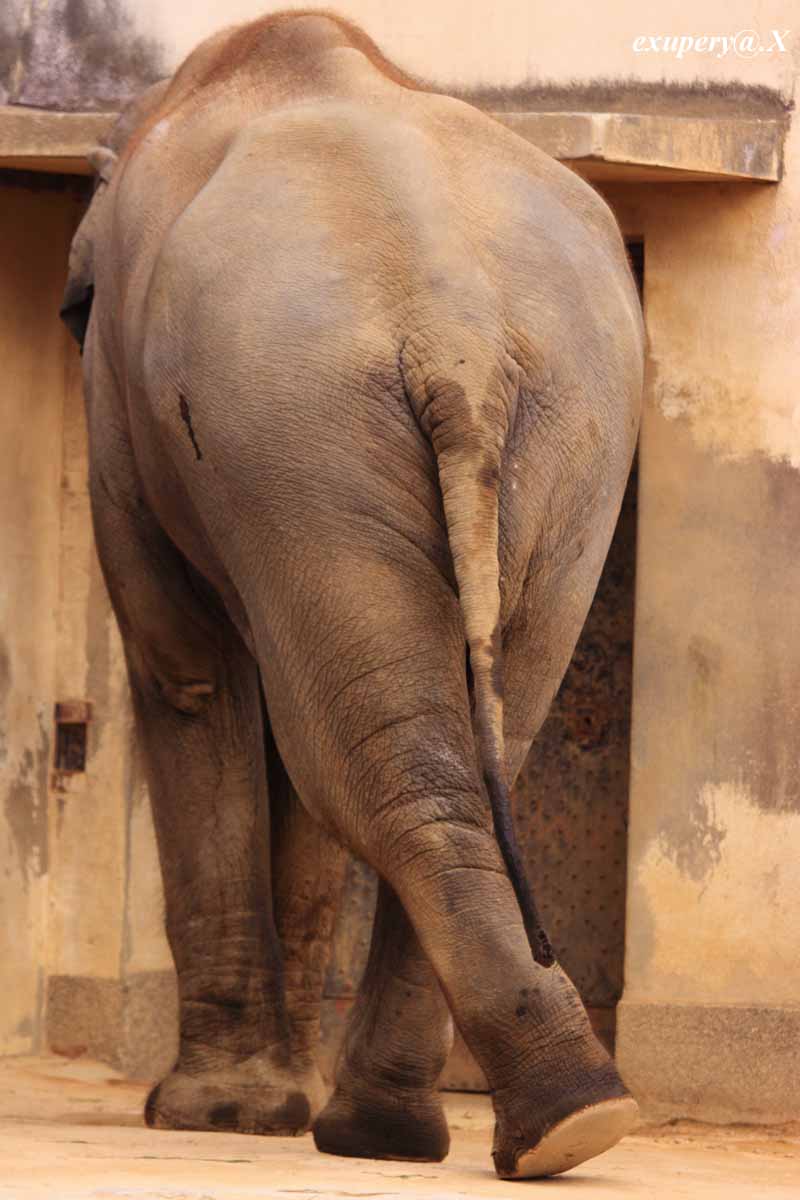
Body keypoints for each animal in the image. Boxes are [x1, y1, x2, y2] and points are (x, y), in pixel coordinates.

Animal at [62, 9, 642, 1180]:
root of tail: (459, 332)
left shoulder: (123, 417)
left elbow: (188, 678)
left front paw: (215, 1117)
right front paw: (259, 1107)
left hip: (306, 412)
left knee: (367, 757)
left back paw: (432, 1130)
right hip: (560, 435)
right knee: (457, 747)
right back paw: (540, 1127)